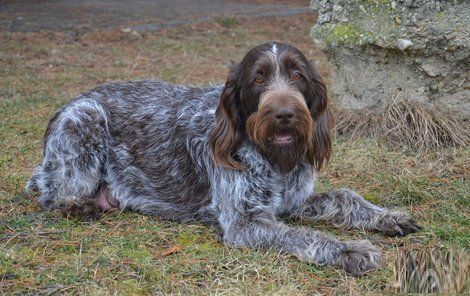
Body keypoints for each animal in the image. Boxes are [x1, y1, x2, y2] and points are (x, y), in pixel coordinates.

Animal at [27, 41, 420, 276]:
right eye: (258, 79)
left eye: (297, 75)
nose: (284, 114)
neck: (271, 157)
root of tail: (72, 101)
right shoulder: (246, 222)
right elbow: (307, 236)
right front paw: (349, 250)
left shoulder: (294, 200)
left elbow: (345, 198)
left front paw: (388, 217)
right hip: (85, 119)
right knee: (51, 196)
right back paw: (79, 205)